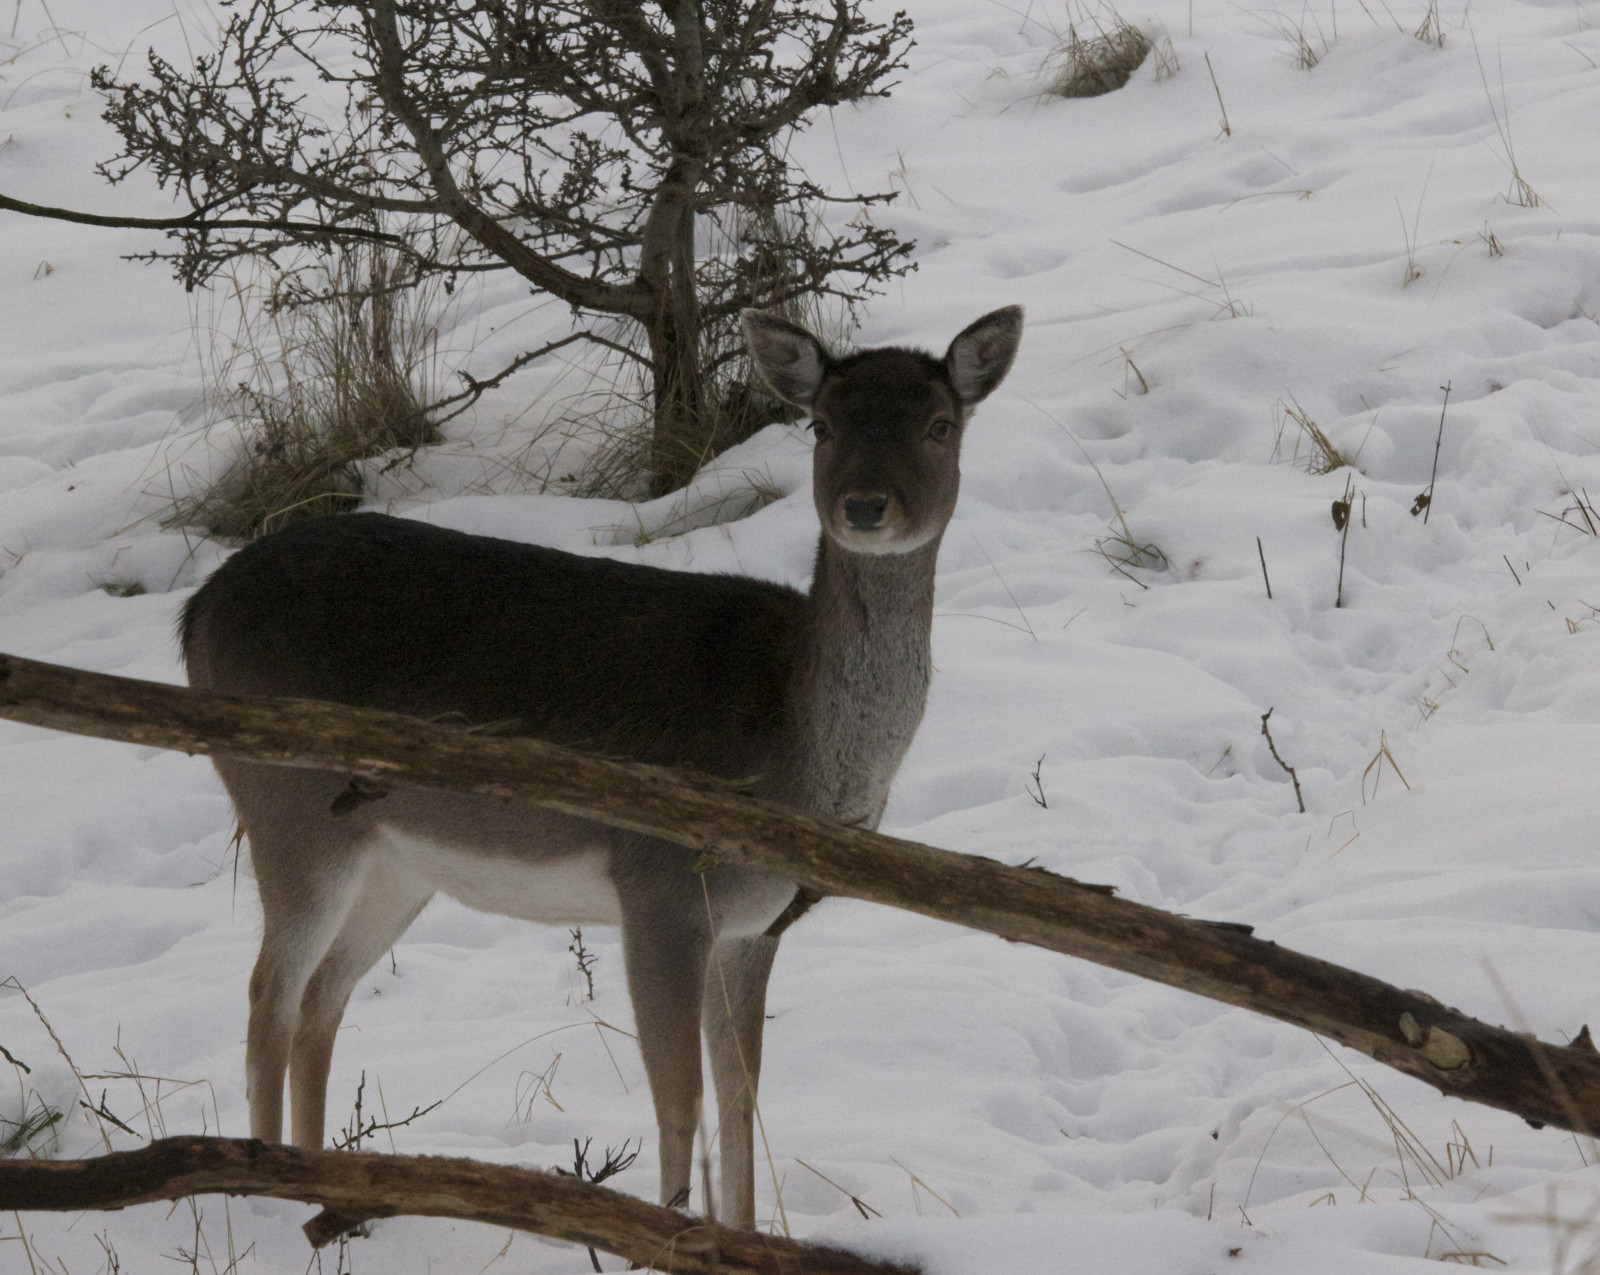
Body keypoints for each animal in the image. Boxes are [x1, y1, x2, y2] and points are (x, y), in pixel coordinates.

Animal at [179, 304, 1023, 1228]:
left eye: (940, 424)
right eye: (822, 423)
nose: (864, 506)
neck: (788, 742)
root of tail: (195, 612)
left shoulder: (752, 925)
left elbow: (741, 1096)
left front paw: (745, 1231)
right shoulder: (656, 882)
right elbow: (679, 1097)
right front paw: (672, 1232)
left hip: (395, 859)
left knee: (320, 1001)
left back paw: (331, 1194)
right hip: (285, 801)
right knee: (269, 994)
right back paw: (266, 1197)